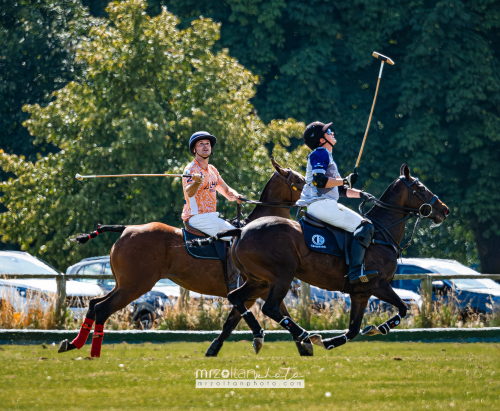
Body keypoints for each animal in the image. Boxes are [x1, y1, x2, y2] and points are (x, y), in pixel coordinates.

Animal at [59, 159, 306, 358]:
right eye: (300, 181)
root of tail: (126, 229)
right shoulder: (255, 290)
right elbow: (237, 320)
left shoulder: (262, 289)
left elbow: (244, 319)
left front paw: (304, 347)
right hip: (136, 284)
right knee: (102, 308)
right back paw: (93, 353)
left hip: (124, 283)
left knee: (94, 304)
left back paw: (72, 344)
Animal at [209, 164, 452, 354]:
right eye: (420, 188)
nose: (444, 210)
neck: (382, 233)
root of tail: (241, 231)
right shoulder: (378, 284)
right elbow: (403, 309)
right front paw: (379, 328)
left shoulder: (361, 292)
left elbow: (353, 329)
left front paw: (330, 342)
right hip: (281, 276)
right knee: (270, 308)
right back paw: (304, 335)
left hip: (258, 280)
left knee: (235, 297)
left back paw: (260, 335)